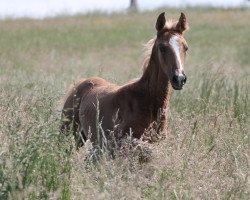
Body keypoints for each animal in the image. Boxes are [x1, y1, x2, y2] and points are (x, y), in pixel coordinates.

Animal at [61, 11, 189, 148]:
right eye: (162, 47)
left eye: (186, 48)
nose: (179, 78)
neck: (146, 100)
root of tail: (80, 83)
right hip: (69, 134)